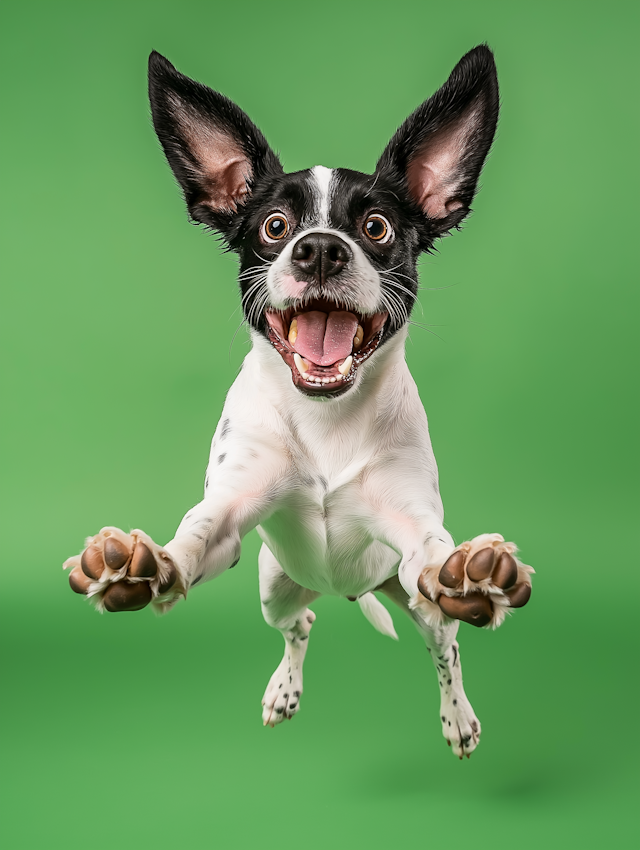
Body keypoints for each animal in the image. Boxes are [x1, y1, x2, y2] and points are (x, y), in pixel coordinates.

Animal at [66, 44, 536, 756]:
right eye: (275, 225)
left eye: (376, 227)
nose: (317, 249)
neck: (326, 420)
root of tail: (353, 588)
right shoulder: (232, 513)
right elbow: (195, 537)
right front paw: (142, 565)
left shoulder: (411, 523)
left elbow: (435, 555)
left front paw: (471, 574)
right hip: (273, 585)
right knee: (302, 623)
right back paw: (283, 689)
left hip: (410, 600)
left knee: (443, 646)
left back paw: (459, 717)